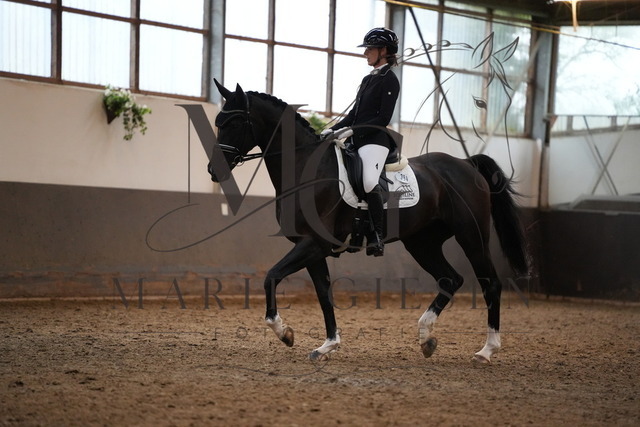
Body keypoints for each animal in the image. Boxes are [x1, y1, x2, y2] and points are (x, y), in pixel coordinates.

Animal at [208, 77, 528, 364]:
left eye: (234, 123)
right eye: (218, 122)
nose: (214, 170)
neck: (305, 169)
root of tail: (465, 164)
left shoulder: (314, 243)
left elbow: (272, 276)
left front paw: (284, 332)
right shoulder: (312, 248)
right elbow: (323, 293)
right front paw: (327, 346)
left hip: (471, 236)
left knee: (490, 283)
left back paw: (486, 351)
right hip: (422, 242)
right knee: (451, 278)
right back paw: (426, 338)